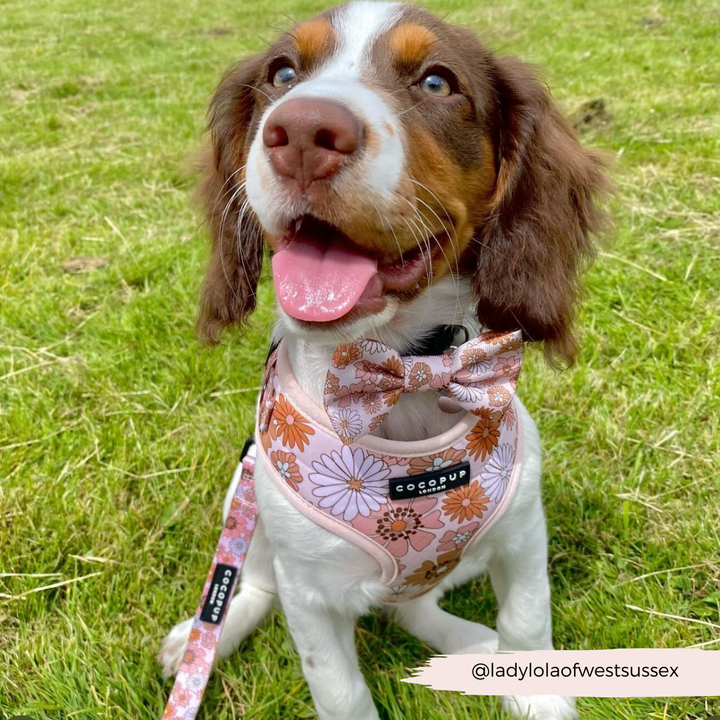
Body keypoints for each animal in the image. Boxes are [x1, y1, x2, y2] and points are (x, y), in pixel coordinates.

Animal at [159, 2, 608, 716]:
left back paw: (472, 647)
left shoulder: (522, 533)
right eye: (281, 73)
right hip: (250, 506)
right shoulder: (309, 595)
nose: (303, 130)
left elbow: (527, 624)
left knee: (412, 604)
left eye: (437, 82)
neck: (402, 375)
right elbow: (340, 691)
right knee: (250, 583)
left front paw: (537, 695)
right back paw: (201, 641)